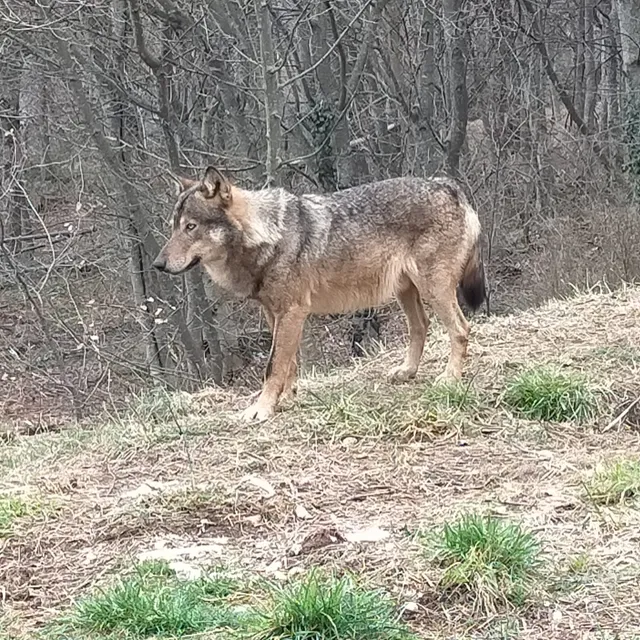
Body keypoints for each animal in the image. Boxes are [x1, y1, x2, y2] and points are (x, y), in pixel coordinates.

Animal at [153, 167, 486, 422]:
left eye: (191, 227)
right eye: (172, 228)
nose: (157, 264)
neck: (268, 237)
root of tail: (448, 185)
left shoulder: (292, 312)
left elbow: (273, 366)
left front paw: (262, 409)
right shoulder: (275, 314)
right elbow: (288, 363)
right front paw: (286, 398)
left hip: (434, 289)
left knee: (461, 329)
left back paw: (450, 378)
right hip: (405, 291)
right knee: (421, 326)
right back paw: (407, 371)